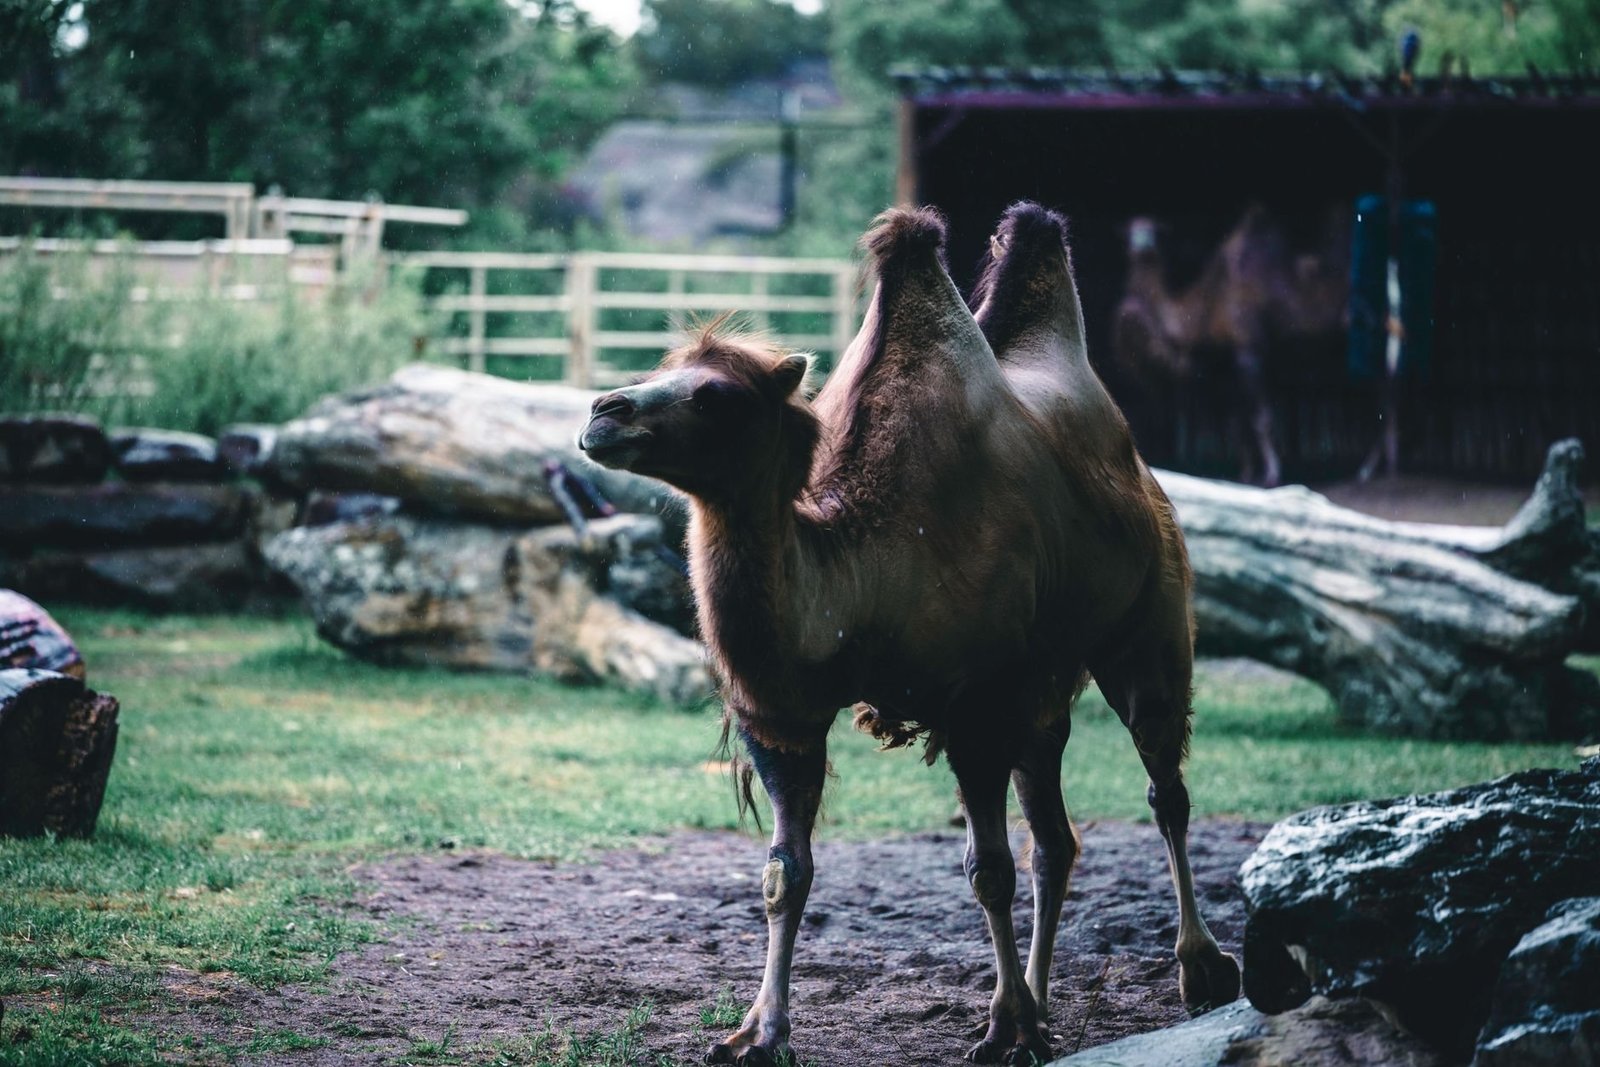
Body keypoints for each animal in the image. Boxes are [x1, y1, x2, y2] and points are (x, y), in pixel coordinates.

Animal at [577, 203, 1239, 1065]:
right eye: (664, 369)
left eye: (715, 393)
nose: (603, 411)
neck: (863, 571)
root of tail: (1139, 471)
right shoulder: (784, 716)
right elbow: (785, 872)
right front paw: (758, 1032)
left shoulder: (976, 704)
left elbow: (987, 868)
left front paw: (1003, 1026)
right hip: (1043, 685)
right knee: (1055, 838)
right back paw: (1048, 1004)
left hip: (1148, 624)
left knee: (1165, 788)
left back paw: (1199, 969)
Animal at [1113, 205, 1348, 487]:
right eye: (1129, 231)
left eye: (1153, 231)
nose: (1141, 245)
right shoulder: (1228, 361)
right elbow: (1240, 422)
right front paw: (1246, 473)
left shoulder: (1248, 350)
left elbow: (1260, 418)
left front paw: (1271, 475)